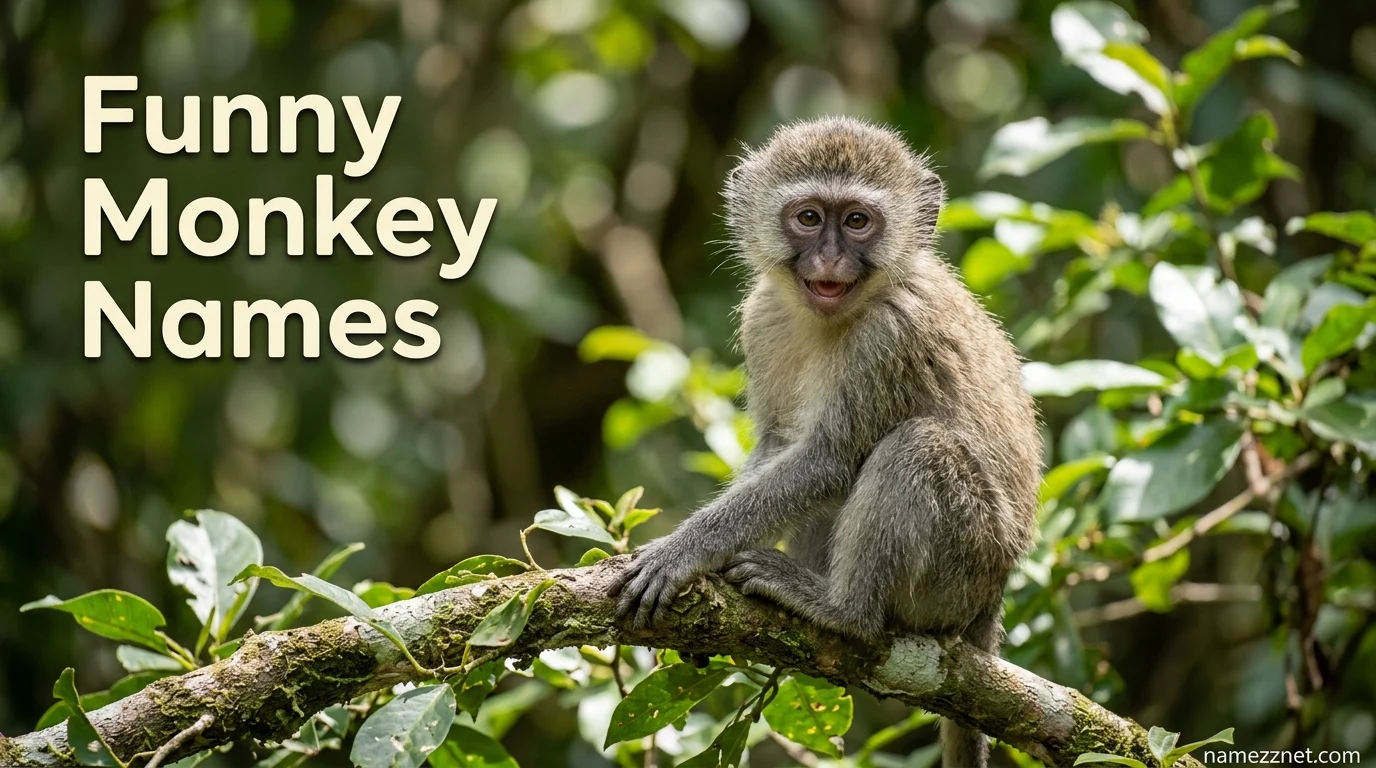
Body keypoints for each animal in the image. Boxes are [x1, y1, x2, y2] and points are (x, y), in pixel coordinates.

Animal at [610, 116, 1041, 767]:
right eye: (809, 218)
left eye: (857, 221)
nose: (831, 257)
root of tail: (990, 601)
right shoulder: (763, 317)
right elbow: (779, 445)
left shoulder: (892, 335)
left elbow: (827, 461)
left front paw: (681, 552)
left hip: (962, 567)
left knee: (917, 447)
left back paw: (844, 613)